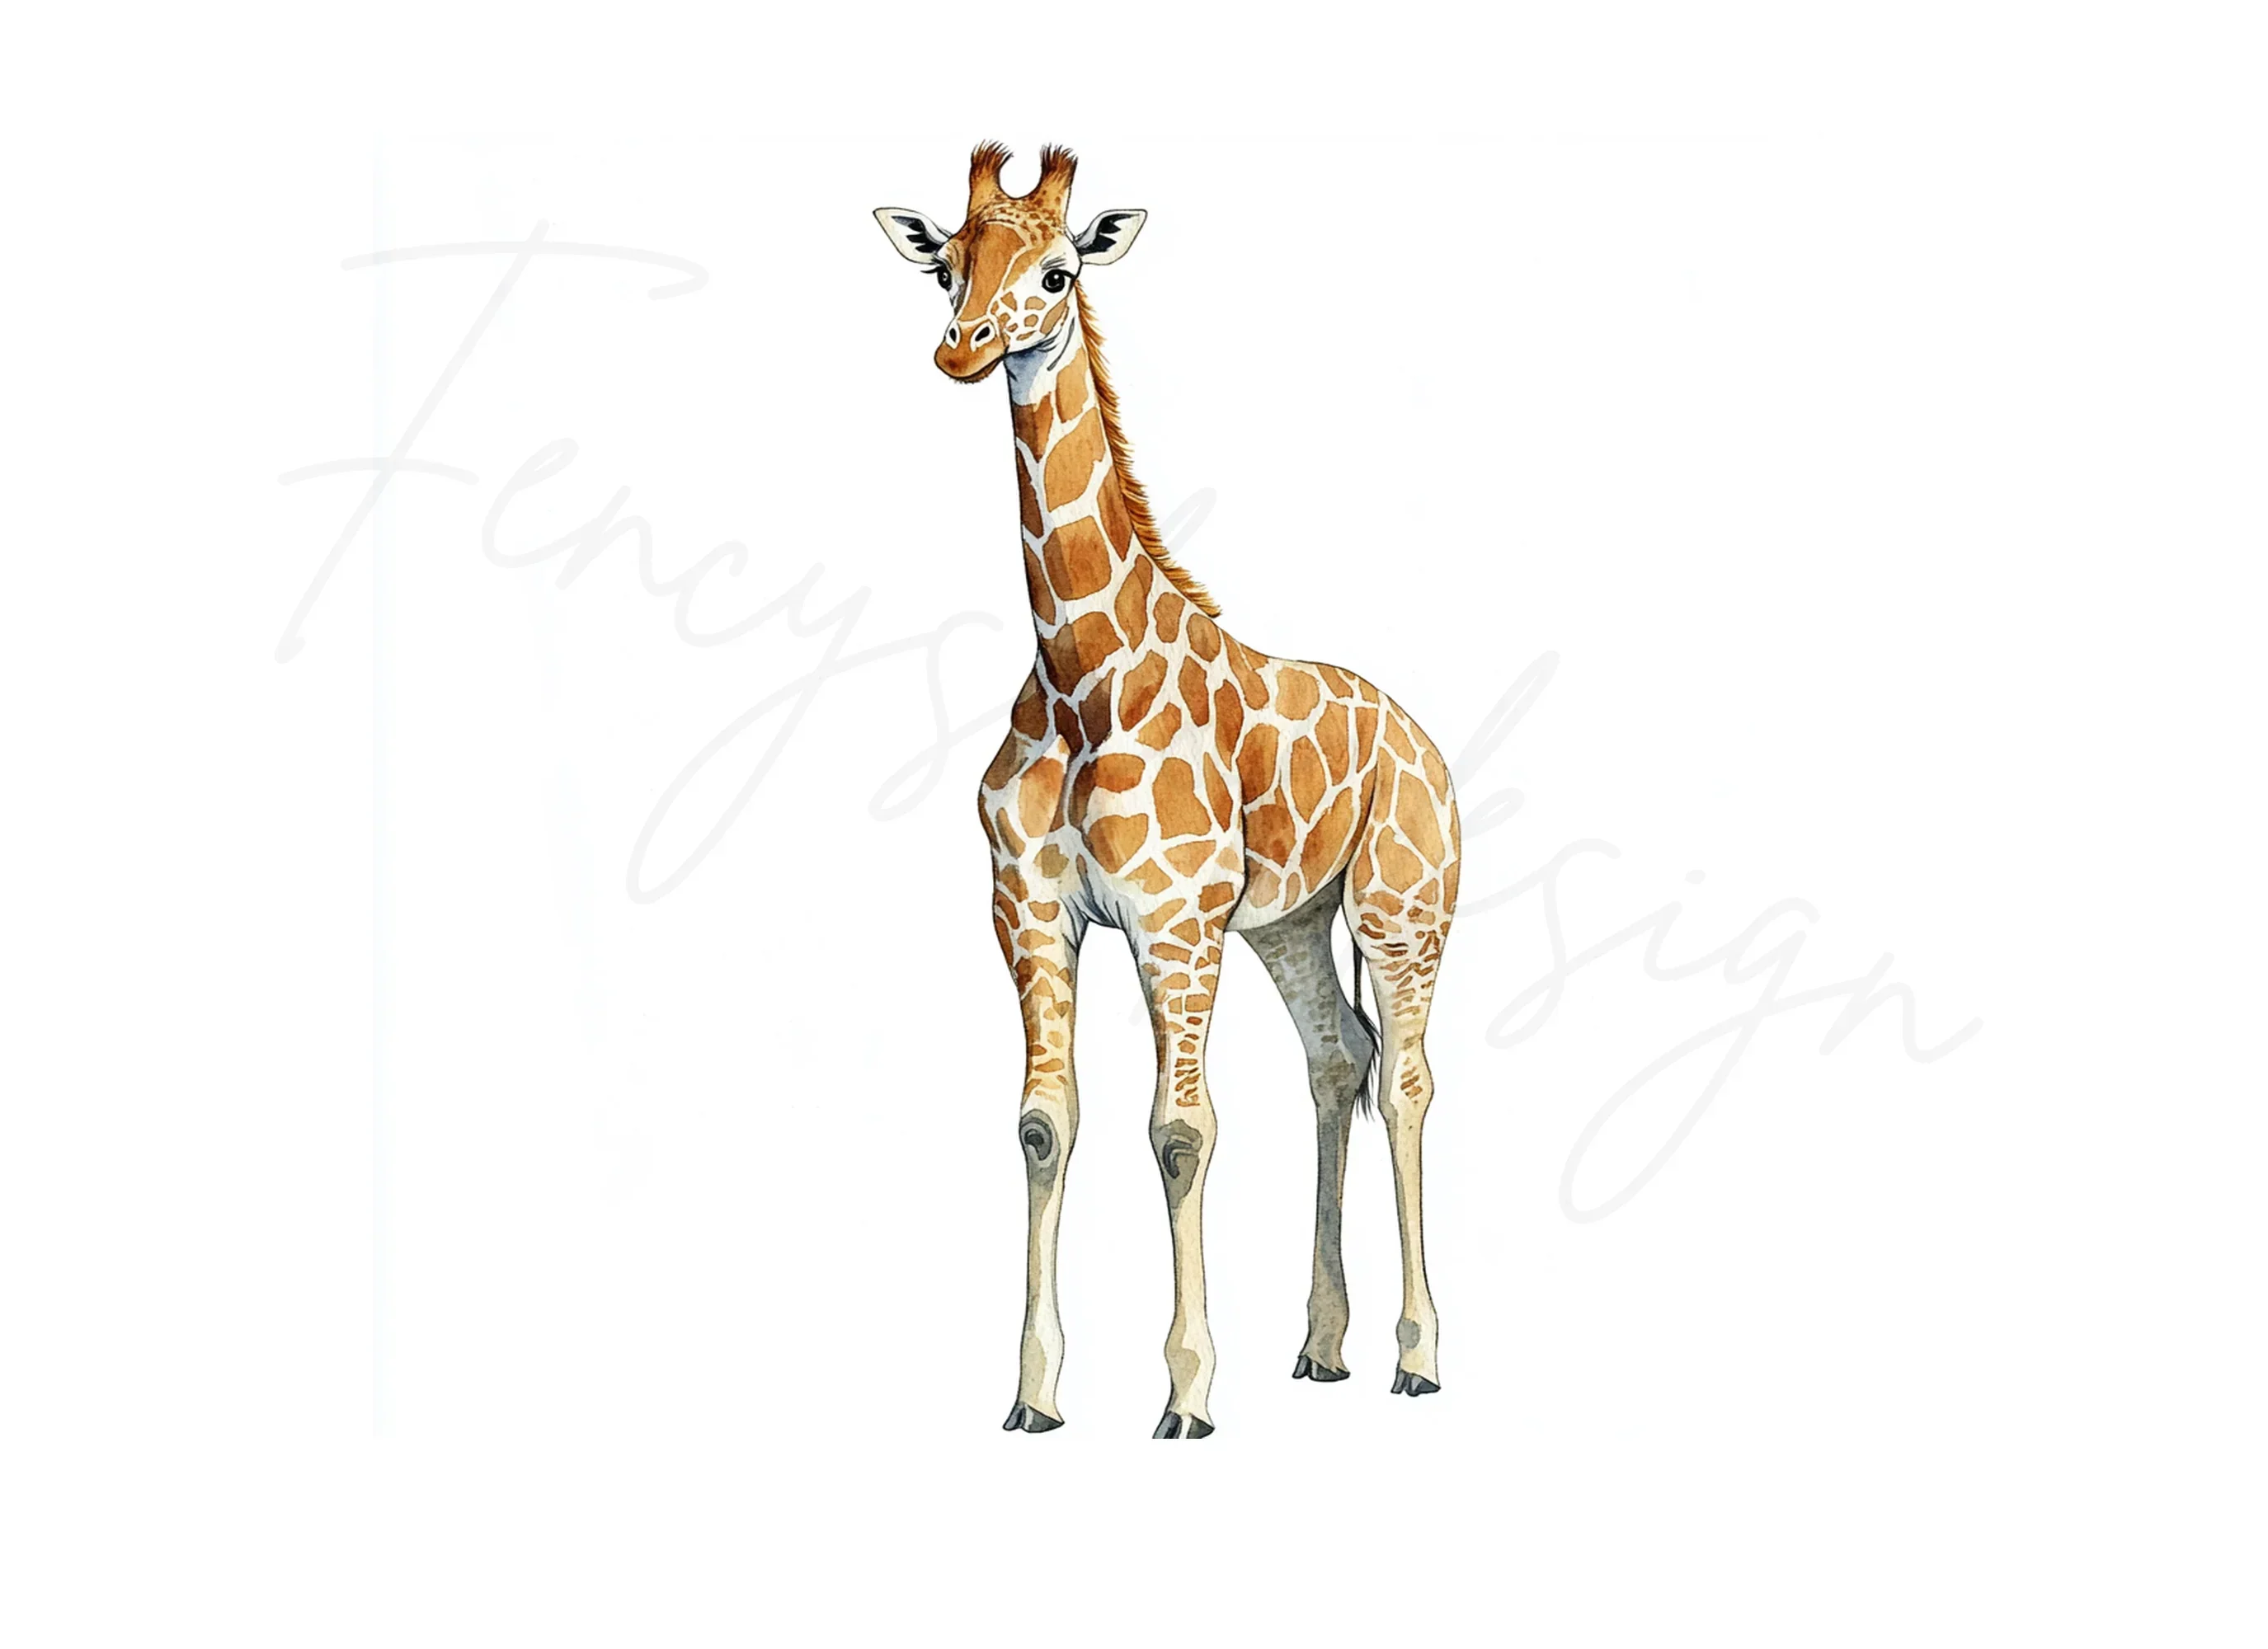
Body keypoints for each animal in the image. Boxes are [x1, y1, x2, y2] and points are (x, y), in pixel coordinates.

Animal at [876, 143, 1461, 1438]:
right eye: (945, 264)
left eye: (1056, 269)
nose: (962, 347)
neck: (1081, 670)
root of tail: (1424, 742)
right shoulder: (1031, 914)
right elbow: (1044, 1124)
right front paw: (1033, 1393)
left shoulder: (1173, 923)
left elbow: (1181, 1130)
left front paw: (1186, 1392)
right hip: (1292, 924)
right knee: (1335, 1060)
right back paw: (1321, 1347)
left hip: (1401, 911)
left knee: (1405, 1079)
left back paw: (1417, 1356)